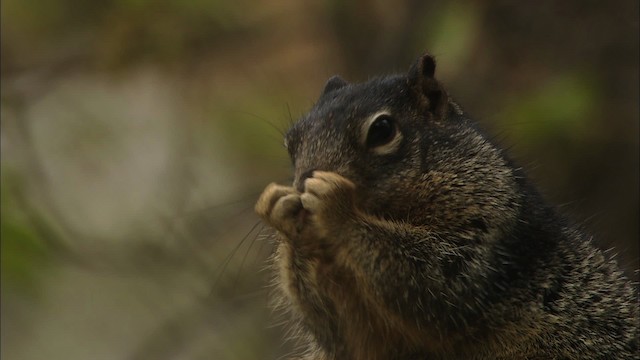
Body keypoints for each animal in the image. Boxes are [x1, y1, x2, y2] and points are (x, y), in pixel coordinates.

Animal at [252, 52, 636, 358]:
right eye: (291, 143)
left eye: (382, 130)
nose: (304, 180)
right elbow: (348, 333)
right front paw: (281, 213)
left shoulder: (486, 231)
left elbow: (437, 280)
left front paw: (336, 205)